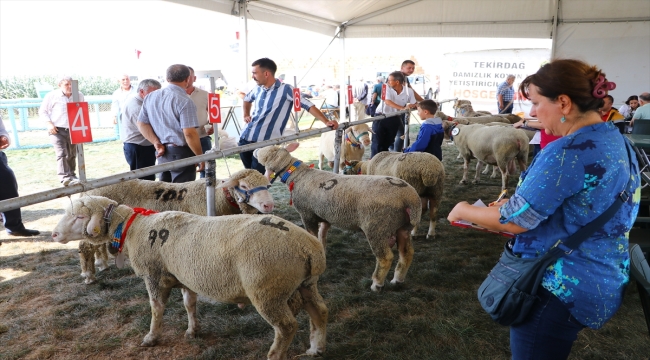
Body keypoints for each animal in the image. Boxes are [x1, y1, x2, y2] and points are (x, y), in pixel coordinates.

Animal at [51, 197, 326, 360]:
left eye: (79, 216)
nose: (53, 234)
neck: (133, 228)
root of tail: (309, 248)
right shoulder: (185, 276)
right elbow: (189, 304)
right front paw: (192, 330)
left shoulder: (153, 274)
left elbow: (156, 308)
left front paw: (151, 337)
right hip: (305, 284)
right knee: (320, 311)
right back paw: (315, 348)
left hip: (267, 289)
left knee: (286, 326)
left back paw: (275, 355)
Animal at [78, 170, 274, 286]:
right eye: (244, 186)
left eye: (267, 185)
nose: (269, 205)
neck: (219, 196)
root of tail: (86, 192)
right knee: (84, 246)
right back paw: (88, 275)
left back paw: (101, 263)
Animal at [253, 142, 420, 292]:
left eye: (268, 150)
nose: (254, 150)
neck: (298, 175)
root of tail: (410, 199)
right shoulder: (325, 216)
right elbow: (322, 236)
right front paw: (322, 252)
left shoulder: (307, 214)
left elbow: (312, 234)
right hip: (402, 227)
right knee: (407, 253)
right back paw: (397, 280)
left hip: (377, 227)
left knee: (386, 257)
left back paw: (377, 284)